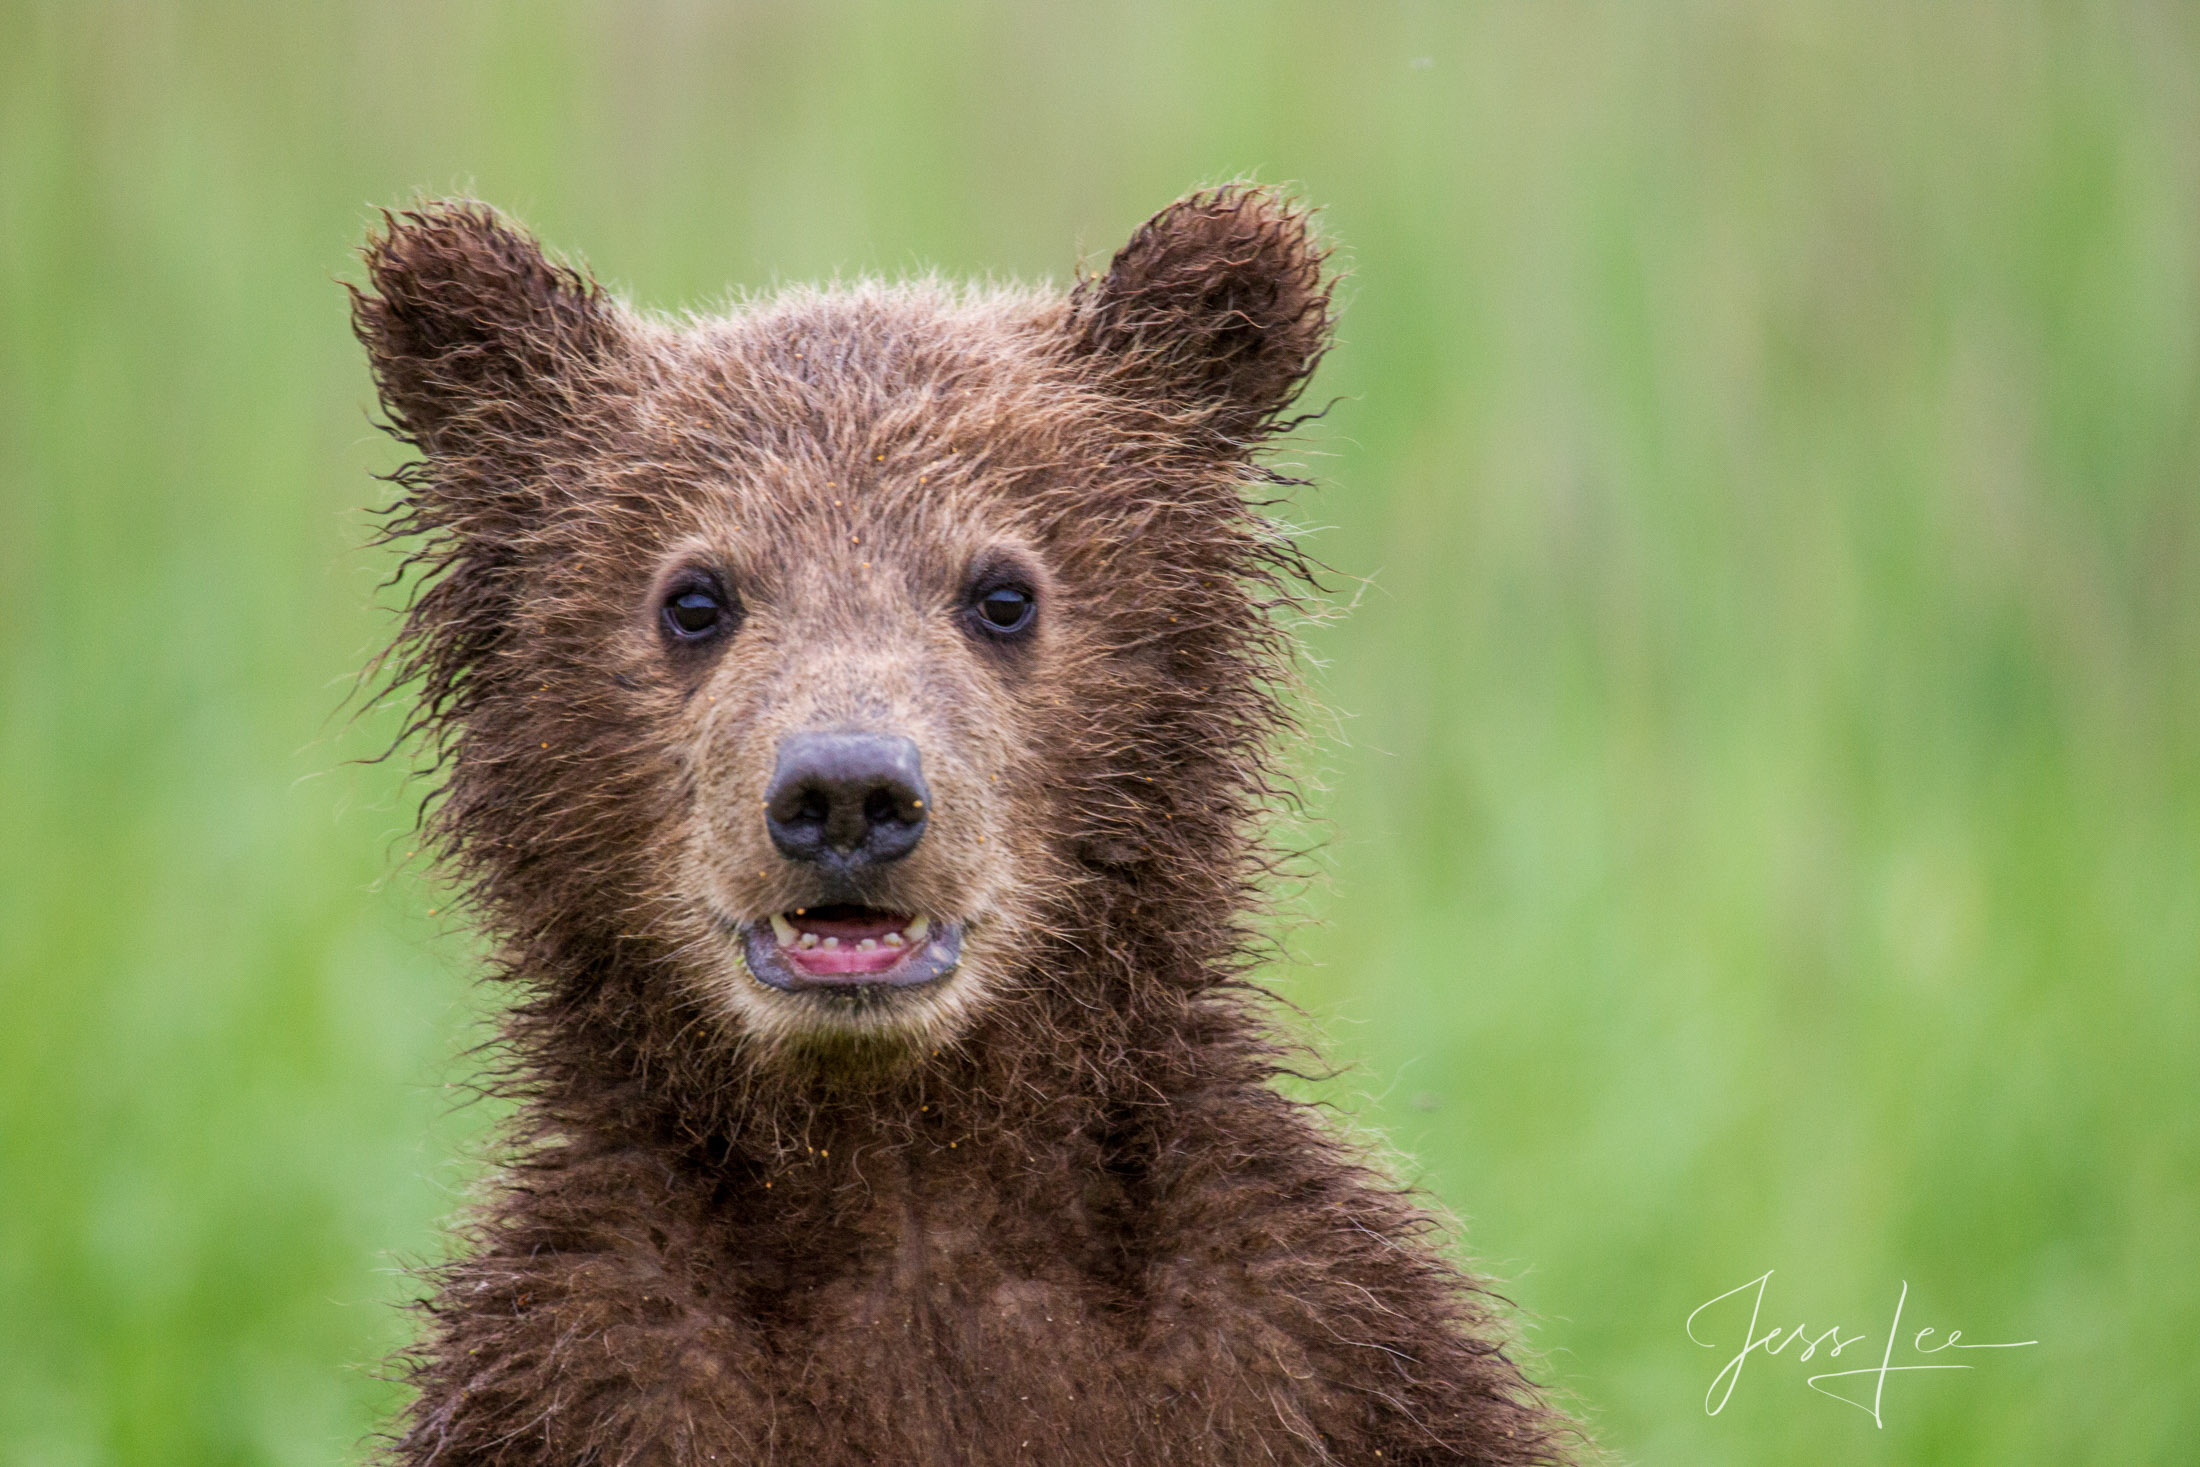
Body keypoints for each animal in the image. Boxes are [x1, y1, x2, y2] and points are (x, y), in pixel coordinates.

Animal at [352, 186, 1575, 1467]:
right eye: (693, 596)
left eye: (1001, 593)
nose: (846, 793)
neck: (904, 1182)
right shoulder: (591, 1375)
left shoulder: (1311, 1352)